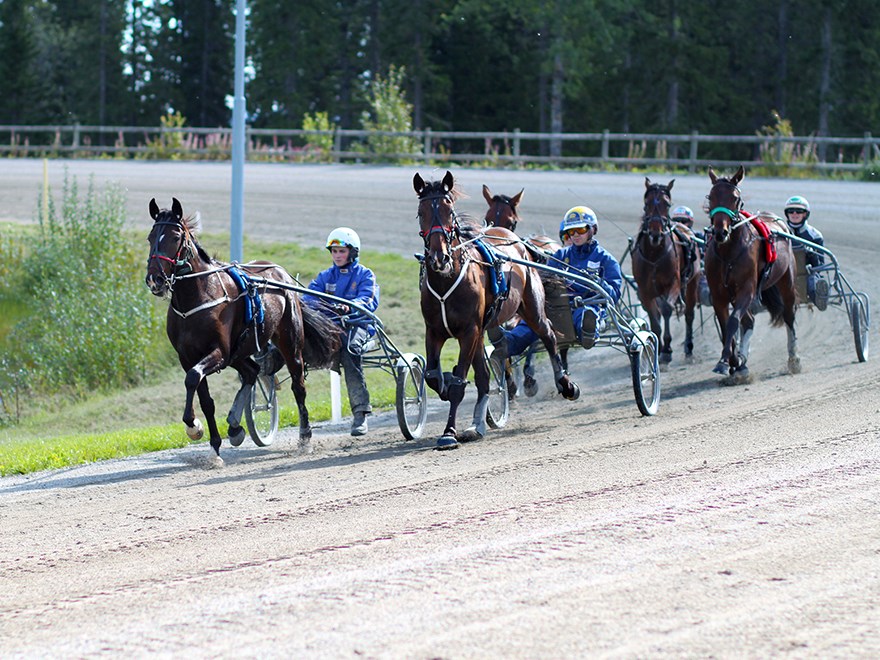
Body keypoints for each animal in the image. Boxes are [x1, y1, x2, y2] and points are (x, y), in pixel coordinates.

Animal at [144, 199, 340, 462]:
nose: (154, 279)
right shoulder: (188, 356)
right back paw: (235, 425)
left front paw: (193, 426)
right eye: (150, 237)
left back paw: (305, 438)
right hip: (239, 351)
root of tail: (281, 272)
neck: (196, 299)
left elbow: (193, 378)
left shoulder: (218, 352)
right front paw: (214, 447)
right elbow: (204, 397)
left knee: (298, 386)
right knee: (252, 371)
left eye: (175, 237)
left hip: (289, 341)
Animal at [416, 170, 580, 448]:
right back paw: (477, 424)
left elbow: (460, 383)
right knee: (485, 373)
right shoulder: (434, 330)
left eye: (449, 210)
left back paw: (565, 384)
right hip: (483, 330)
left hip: (531, 306)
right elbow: (433, 377)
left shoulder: (469, 331)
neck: (447, 278)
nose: (439, 257)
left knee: (547, 335)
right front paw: (447, 385)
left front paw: (449, 432)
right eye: (421, 211)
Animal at [632, 178, 700, 366]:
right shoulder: (645, 291)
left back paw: (689, 348)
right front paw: (658, 348)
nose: (655, 233)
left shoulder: (674, 284)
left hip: (692, 282)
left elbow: (667, 310)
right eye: (646, 203)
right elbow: (654, 319)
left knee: (689, 314)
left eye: (667, 204)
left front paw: (667, 350)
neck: (654, 254)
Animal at [704, 165, 800, 382]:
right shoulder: (719, 295)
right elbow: (726, 327)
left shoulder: (746, 290)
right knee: (748, 320)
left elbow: (733, 322)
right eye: (711, 197)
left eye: (735, 198)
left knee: (789, 316)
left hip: (787, 280)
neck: (728, 253)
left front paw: (727, 361)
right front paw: (733, 362)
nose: (720, 232)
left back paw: (794, 360)